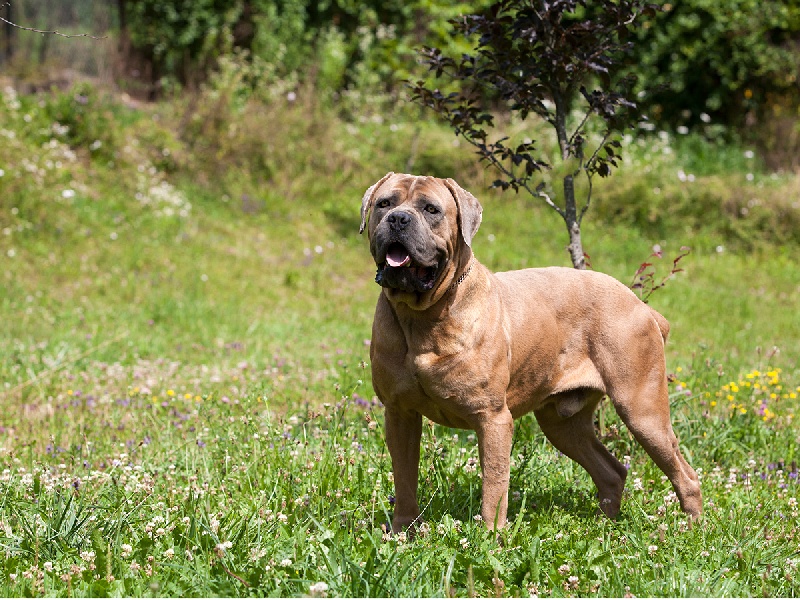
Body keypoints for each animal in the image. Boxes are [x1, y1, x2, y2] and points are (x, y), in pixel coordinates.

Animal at [360, 171, 704, 532]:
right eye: (384, 203)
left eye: (431, 209)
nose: (398, 219)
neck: (422, 316)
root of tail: (641, 306)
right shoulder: (399, 413)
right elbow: (404, 479)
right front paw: (402, 533)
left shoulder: (493, 418)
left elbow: (494, 487)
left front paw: (491, 539)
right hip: (563, 424)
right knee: (612, 471)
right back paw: (603, 526)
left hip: (642, 411)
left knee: (685, 476)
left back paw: (692, 530)